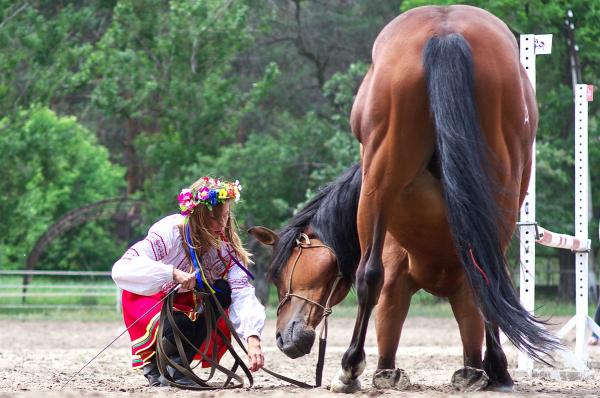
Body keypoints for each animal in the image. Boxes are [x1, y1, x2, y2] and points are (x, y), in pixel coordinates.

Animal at [251, 3, 560, 392]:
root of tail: (445, 32)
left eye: (278, 276)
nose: (282, 339)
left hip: (378, 181)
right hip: (503, 187)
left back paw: (349, 369)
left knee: (369, 276)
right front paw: (480, 370)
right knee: (490, 276)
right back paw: (499, 370)